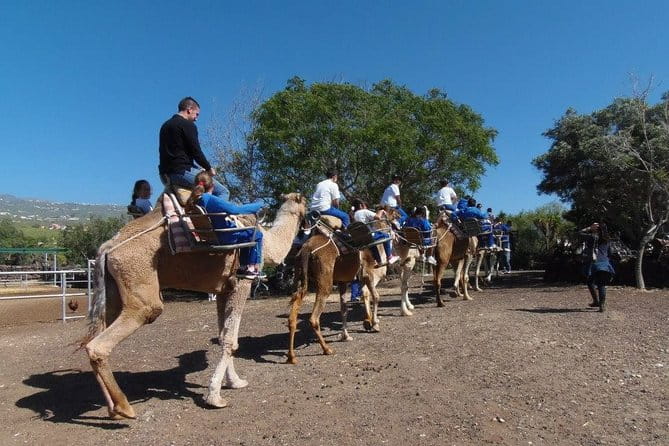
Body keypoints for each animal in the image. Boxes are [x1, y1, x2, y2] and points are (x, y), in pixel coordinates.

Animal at [82, 192, 307, 419]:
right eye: (306, 203)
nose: (309, 222)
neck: (268, 243)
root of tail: (108, 248)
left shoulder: (223, 289)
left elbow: (223, 335)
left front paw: (235, 382)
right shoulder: (242, 282)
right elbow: (230, 339)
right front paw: (215, 396)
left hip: (113, 292)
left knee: (94, 337)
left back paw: (112, 409)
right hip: (141, 288)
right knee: (101, 343)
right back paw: (125, 407)